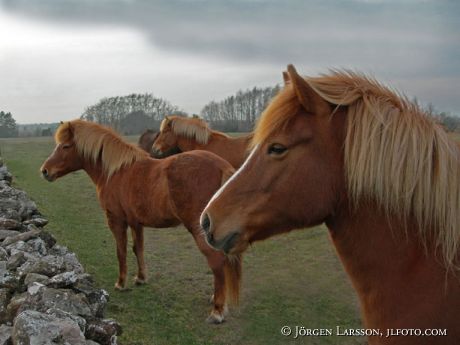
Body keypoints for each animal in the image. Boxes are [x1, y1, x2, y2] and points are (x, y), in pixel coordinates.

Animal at [40, 119, 241, 322]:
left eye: (65, 146)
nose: (45, 171)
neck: (115, 171)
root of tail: (221, 166)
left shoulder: (116, 221)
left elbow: (121, 251)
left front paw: (121, 283)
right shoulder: (136, 222)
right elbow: (138, 249)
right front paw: (141, 278)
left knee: (217, 261)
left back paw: (217, 310)